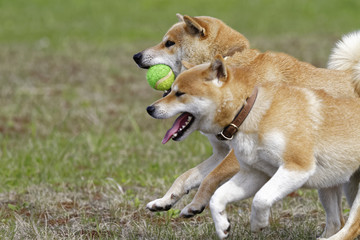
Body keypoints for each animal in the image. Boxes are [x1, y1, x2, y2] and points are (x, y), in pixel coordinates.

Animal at [134, 14, 360, 237]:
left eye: (168, 43)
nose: (136, 56)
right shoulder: (221, 152)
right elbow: (187, 176)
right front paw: (164, 201)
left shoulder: (234, 158)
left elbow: (209, 179)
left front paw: (196, 205)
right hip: (330, 179)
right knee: (336, 221)